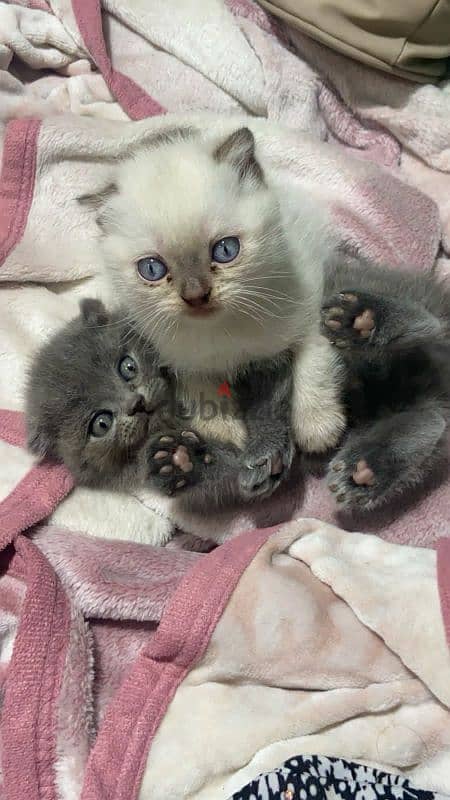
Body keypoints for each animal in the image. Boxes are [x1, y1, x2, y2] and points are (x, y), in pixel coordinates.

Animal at [79, 124, 344, 450]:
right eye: (152, 269)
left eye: (226, 250)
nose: (195, 296)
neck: (224, 330)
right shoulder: (176, 357)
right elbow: (199, 387)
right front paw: (225, 431)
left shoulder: (308, 311)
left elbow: (312, 363)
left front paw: (318, 427)